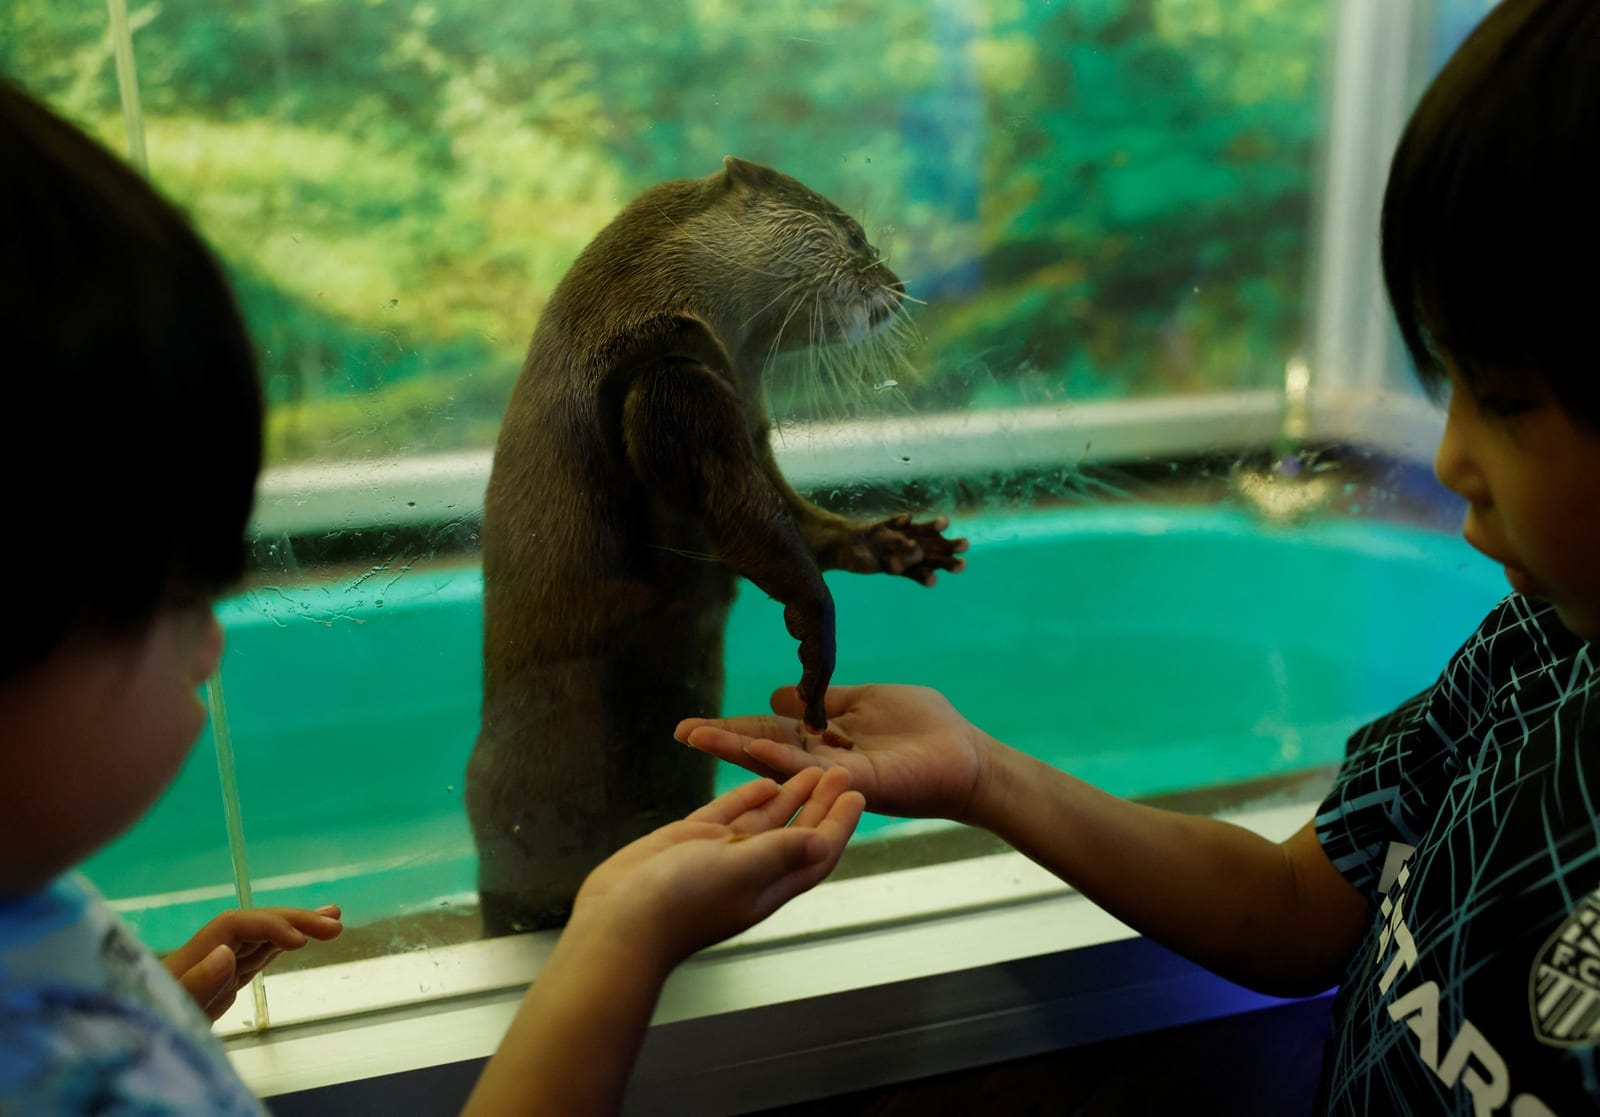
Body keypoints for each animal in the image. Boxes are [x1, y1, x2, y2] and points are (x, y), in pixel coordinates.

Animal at [467, 156, 967, 935]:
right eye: (855, 234)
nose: (896, 281)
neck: (654, 293)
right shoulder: (671, 373)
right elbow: (743, 523)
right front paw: (816, 635)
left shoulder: (745, 410)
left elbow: (793, 517)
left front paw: (895, 543)